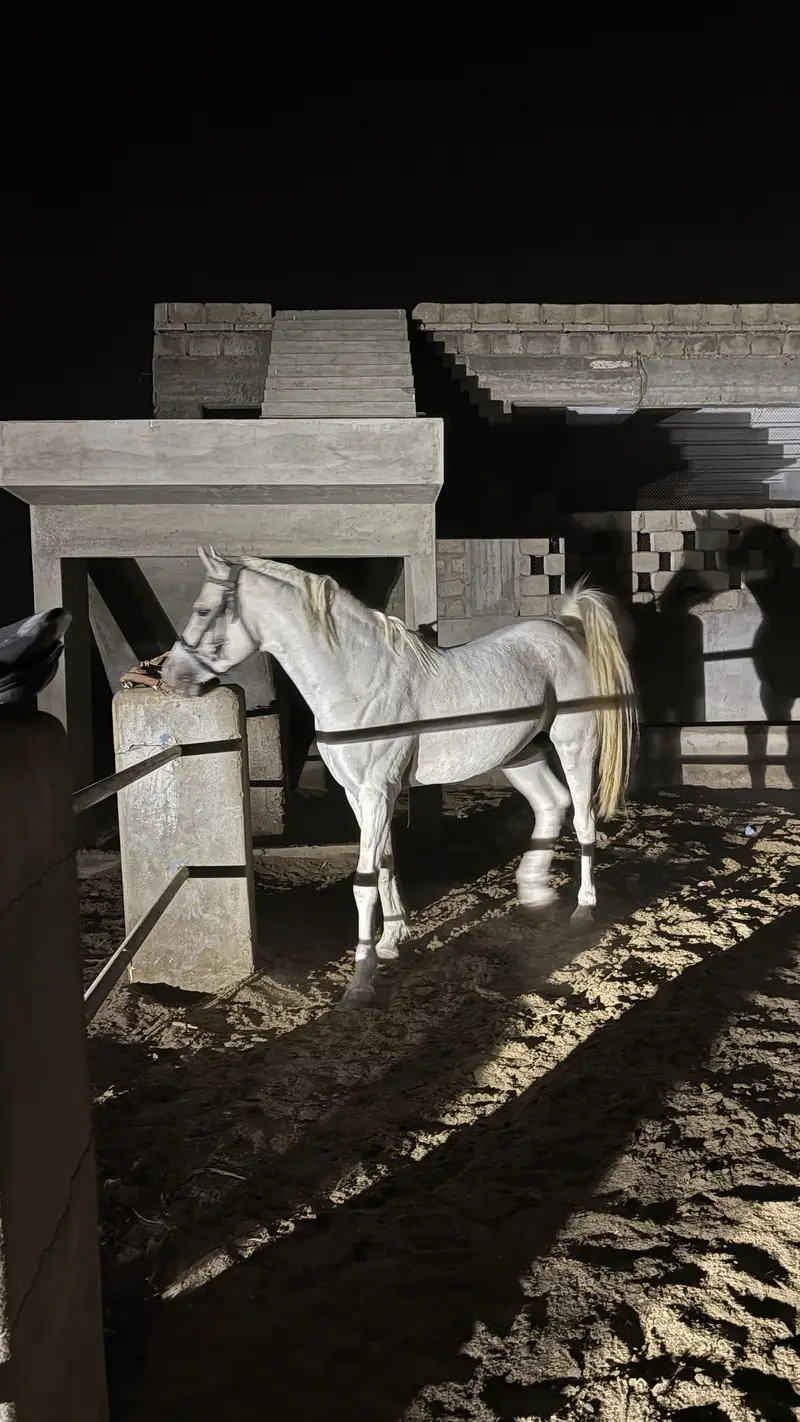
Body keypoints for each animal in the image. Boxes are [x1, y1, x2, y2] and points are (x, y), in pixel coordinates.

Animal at [162, 548, 637, 1008]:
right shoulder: (362, 794)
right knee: (550, 804)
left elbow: (363, 882)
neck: (358, 682)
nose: (169, 676)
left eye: (202, 610)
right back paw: (534, 892)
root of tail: (566, 629)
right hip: (520, 754)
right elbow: (385, 862)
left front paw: (360, 981)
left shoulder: (376, 792)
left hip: (574, 746)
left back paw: (582, 909)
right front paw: (392, 940)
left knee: (582, 820)